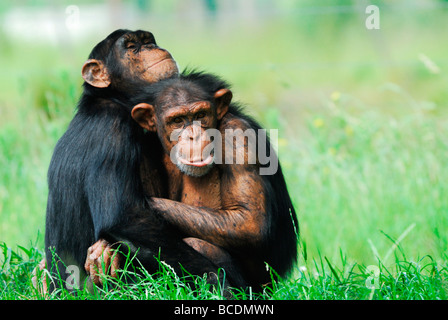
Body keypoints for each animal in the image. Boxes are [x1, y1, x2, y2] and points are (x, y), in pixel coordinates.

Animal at [44, 30, 234, 292]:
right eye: (132, 46)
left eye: (148, 41)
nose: (151, 47)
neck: (113, 100)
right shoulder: (113, 131)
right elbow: (126, 217)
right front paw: (216, 279)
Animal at [88, 72, 300, 288]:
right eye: (177, 120)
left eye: (200, 115)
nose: (193, 135)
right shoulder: (142, 148)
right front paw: (105, 252)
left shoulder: (238, 137)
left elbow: (249, 221)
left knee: (201, 244)